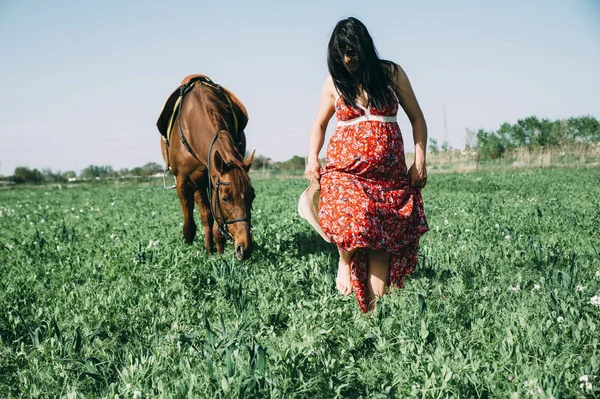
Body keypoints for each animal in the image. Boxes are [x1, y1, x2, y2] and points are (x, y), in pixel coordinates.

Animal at [156, 74, 254, 260]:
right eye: (225, 198)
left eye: (252, 197)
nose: (244, 248)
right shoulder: (185, 181)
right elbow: (190, 222)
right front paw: (192, 247)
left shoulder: (213, 178)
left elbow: (215, 220)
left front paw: (219, 251)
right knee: (204, 215)